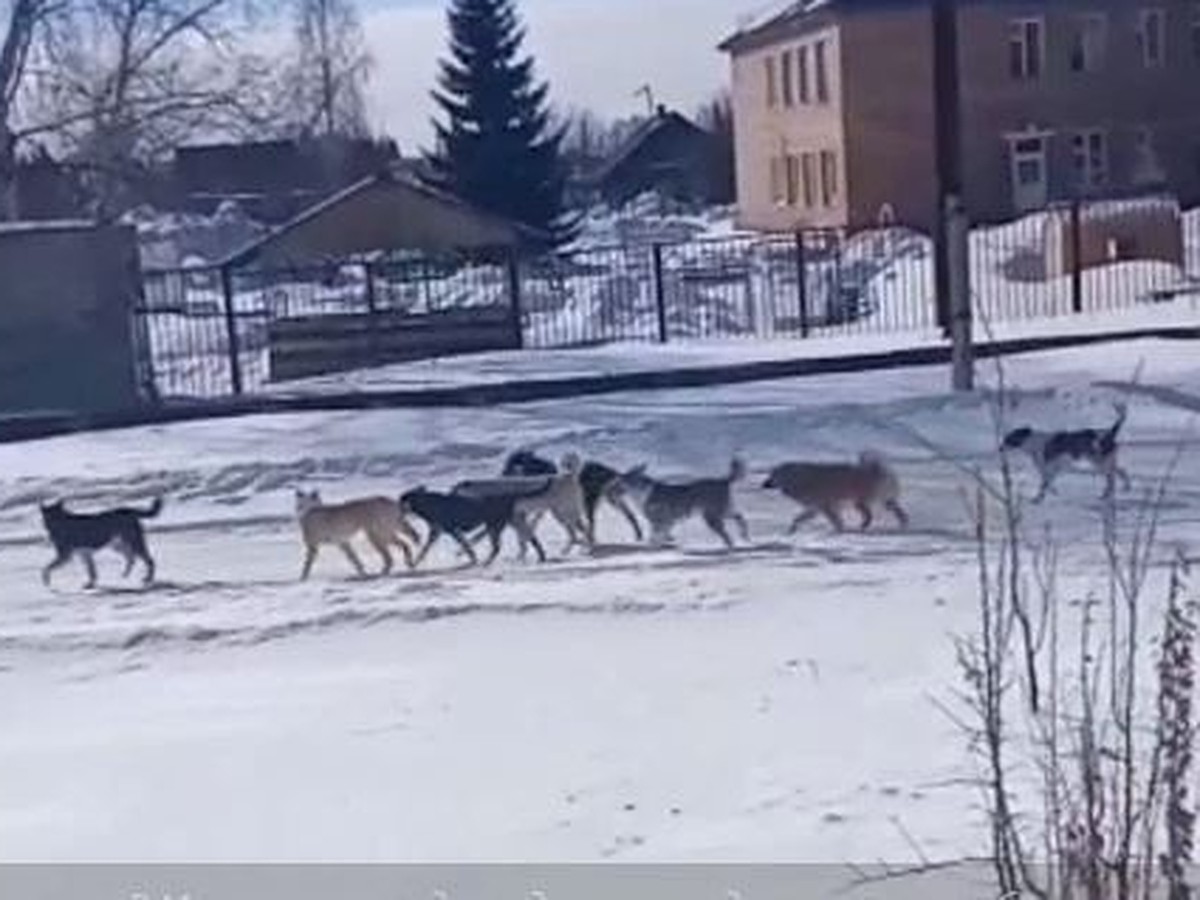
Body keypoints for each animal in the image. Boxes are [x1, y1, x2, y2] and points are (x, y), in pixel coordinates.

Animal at [398, 489, 544, 566]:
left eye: (402, 500)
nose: (397, 509)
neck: (427, 503)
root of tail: (509, 495)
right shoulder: (437, 531)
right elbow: (425, 549)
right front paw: (415, 562)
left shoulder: (451, 530)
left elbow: (465, 545)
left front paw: (472, 558)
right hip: (510, 522)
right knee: (531, 537)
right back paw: (541, 556)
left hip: (494, 526)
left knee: (497, 547)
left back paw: (487, 562)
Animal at [501, 451, 643, 542]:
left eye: (510, 466)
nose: (500, 475)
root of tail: (609, 470)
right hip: (612, 499)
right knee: (630, 515)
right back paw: (638, 534)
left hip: (592, 503)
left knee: (592, 523)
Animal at [763, 451, 902, 535]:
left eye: (773, 475)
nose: (763, 484)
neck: (798, 478)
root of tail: (878, 470)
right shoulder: (816, 507)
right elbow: (799, 518)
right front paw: (791, 530)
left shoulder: (825, 505)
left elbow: (836, 520)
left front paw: (839, 531)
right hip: (882, 499)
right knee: (895, 510)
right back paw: (903, 524)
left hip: (860, 500)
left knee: (869, 515)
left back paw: (863, 526)